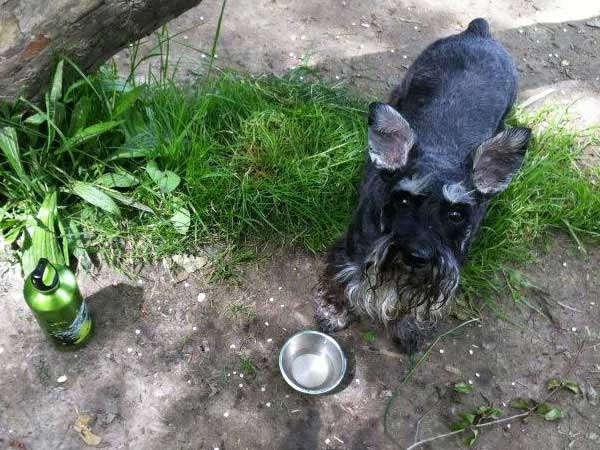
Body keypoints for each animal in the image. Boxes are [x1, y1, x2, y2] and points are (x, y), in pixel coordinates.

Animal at [316, 18, 532, 352]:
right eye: (404, 200)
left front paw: (409, 328)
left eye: (456, 214)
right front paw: (334, 311)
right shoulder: (351, 253)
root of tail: (478, 31)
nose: (417, 256)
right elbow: (341, 281)